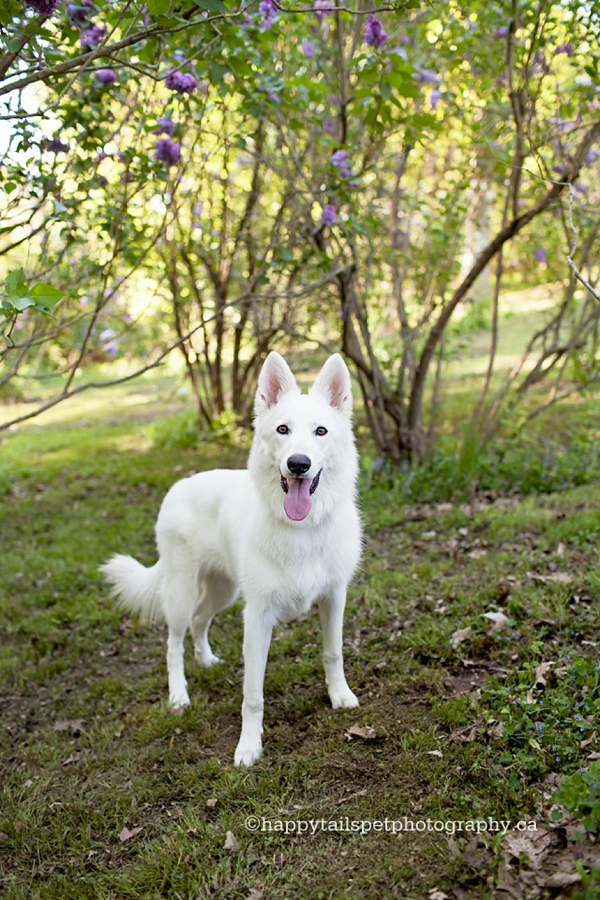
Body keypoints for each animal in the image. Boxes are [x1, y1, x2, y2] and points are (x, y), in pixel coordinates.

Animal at [101, 352, 360, 768]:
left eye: (320, 431)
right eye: (283, 429)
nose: (298, 464)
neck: (301, 529)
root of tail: (178, 486)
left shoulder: (334, 599)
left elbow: (332, 652)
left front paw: (339, 696)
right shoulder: (257, 619)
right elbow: (252, 695)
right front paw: (249, 746)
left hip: (224, 592)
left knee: (199, 621)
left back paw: (206, 661)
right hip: (181, 593)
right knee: (173, 644)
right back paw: (179, 696)